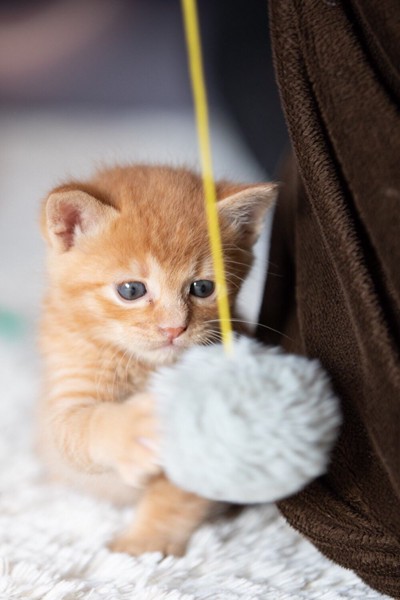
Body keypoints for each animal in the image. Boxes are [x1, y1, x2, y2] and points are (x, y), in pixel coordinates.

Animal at [37, 162, 276, 556]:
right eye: (131, 290)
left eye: (202, 288)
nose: (174, 328)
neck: (144, 366)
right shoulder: (66, 392)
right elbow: (83, 426)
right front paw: (133, 429)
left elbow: (178, 494)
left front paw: (145, 543)